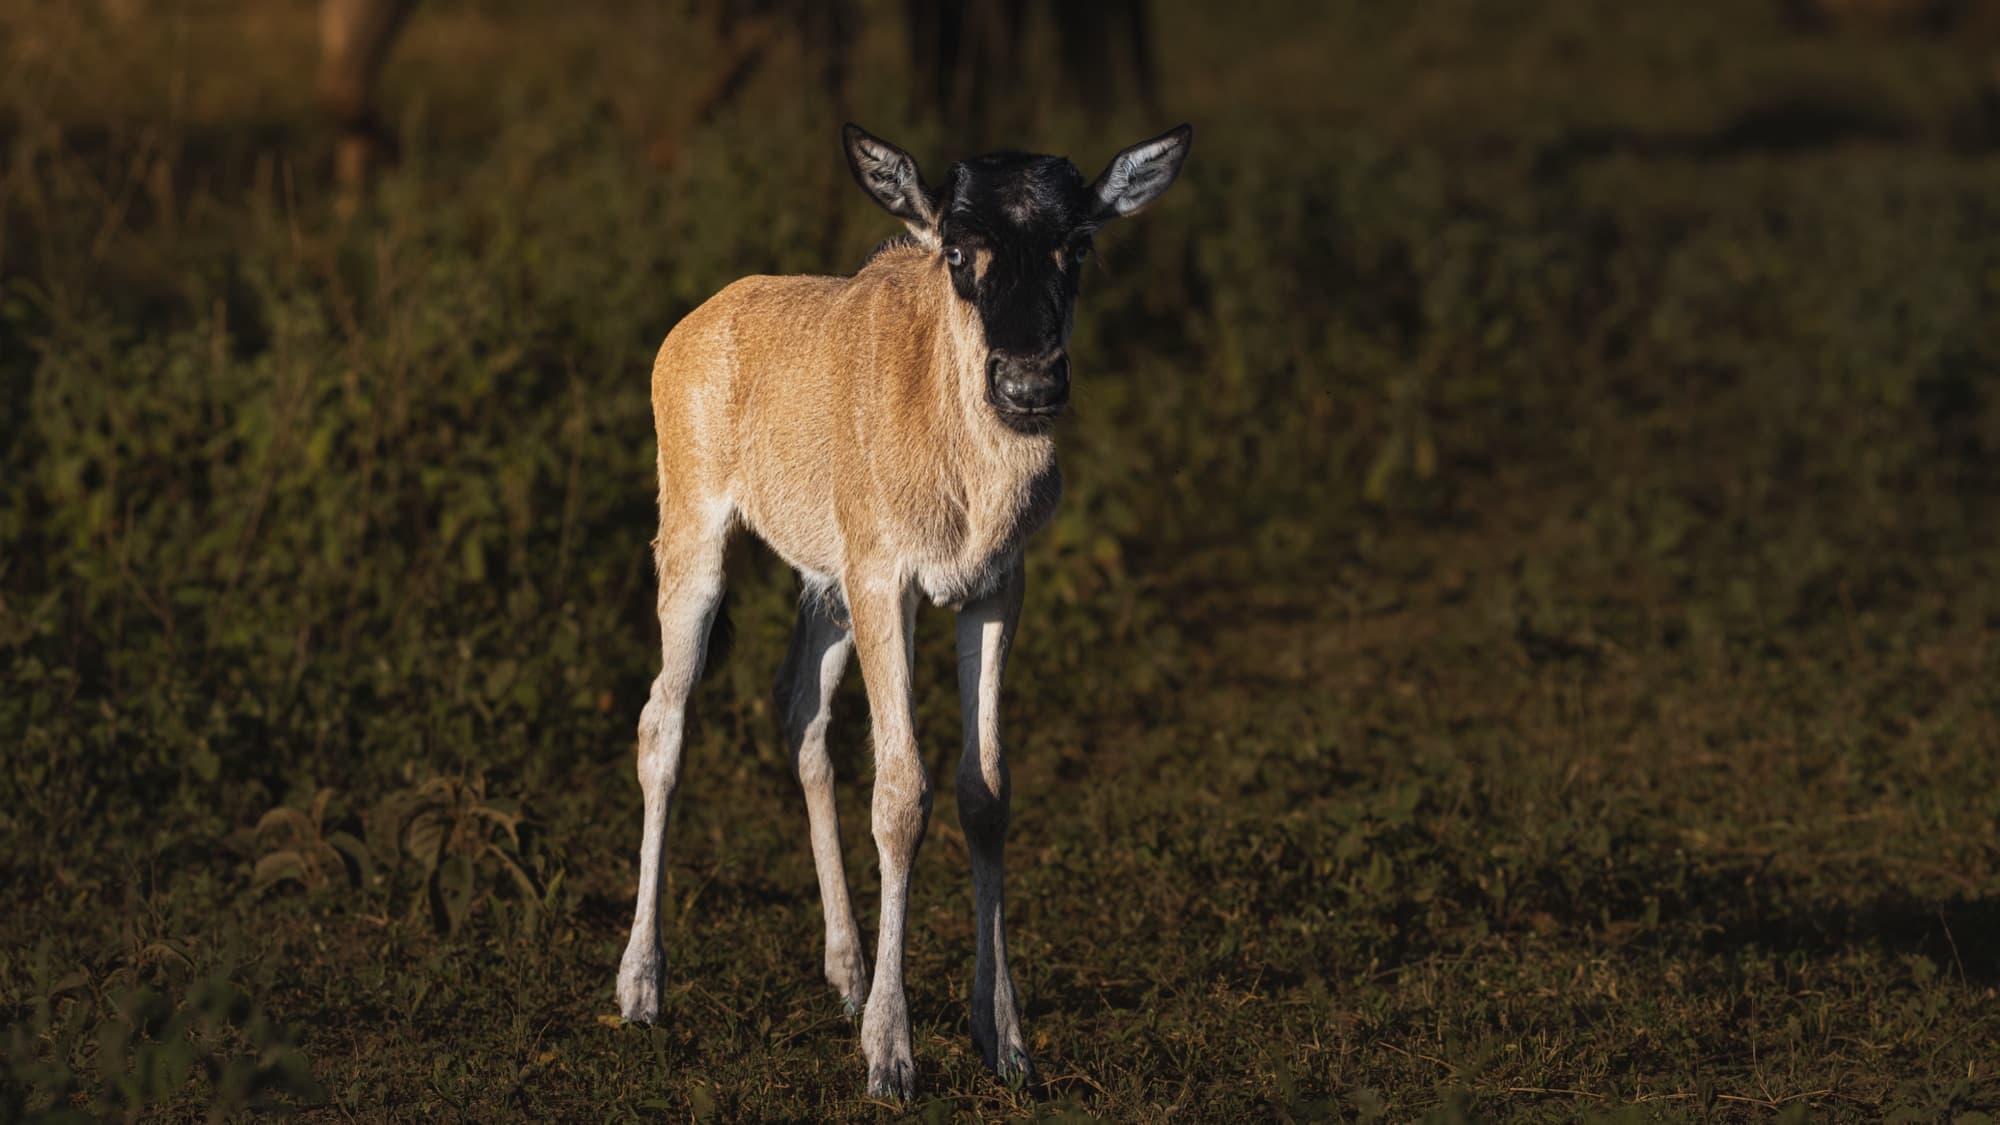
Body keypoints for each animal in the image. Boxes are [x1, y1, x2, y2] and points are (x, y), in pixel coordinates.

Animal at [616, 122, 1191, 1098]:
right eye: (956, 250)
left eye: (1079, 244)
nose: (1029, 386)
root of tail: (690, 330)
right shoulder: (890, 582)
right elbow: (901, 792)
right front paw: (891, 1055)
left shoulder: (994, 587)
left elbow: (984, 789)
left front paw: (1007, 1042)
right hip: (695, 536)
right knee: (665, 720)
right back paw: (642, 988)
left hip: (829, 588)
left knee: (801, 711)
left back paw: (844, 970)